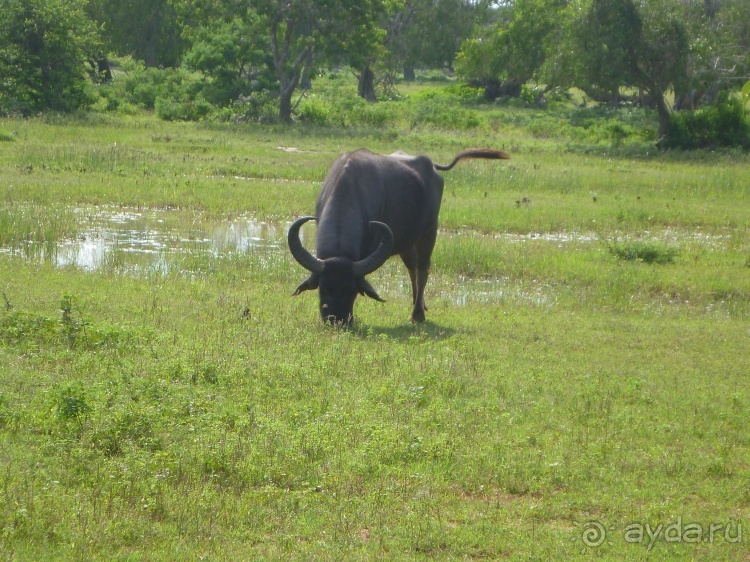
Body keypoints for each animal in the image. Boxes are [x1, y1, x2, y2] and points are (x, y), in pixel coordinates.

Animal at [288, 148, 512, 324]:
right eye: (323, 288)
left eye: (352, 290)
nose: (337, 319)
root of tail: (432, 166)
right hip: (406, 243)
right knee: (412, 268)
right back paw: (417, 303)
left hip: (429, 231)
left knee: (422, 269)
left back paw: (417, 314)